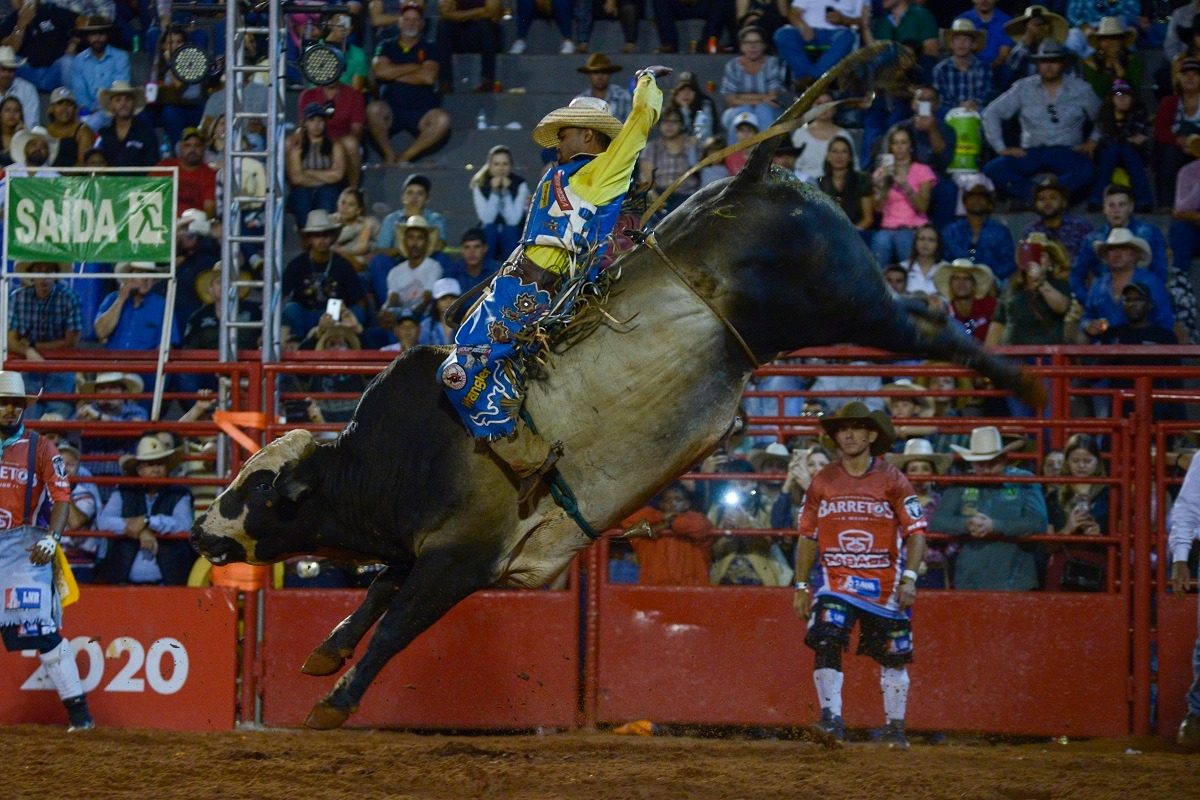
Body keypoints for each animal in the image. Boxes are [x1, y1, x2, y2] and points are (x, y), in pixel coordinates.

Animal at [189, 45, 1041, 734]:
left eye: (259, 493)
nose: (201, 536)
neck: (393, 461)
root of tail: (752, 174)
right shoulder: (423, 547)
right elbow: (372, 599)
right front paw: (323, 655)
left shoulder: (461, 560)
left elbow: (397, 624)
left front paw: (334, 703)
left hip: (847, 301)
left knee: (929, 329)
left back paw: (1023, 382)